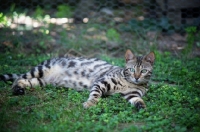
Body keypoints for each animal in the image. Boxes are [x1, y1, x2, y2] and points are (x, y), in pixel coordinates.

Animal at [0, 49, 155, 110]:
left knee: (26, 81)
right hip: (40, 70)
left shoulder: (132, 95)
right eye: (131, 70)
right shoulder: (101, 82)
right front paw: (89, 104)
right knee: (18, 78)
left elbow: (138, 100)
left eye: (143, 71)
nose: (136, 77)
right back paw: (15, 90)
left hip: (42, 82)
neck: (128, 83)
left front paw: (143, 107)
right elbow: (95, 95)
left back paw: (20, 89)